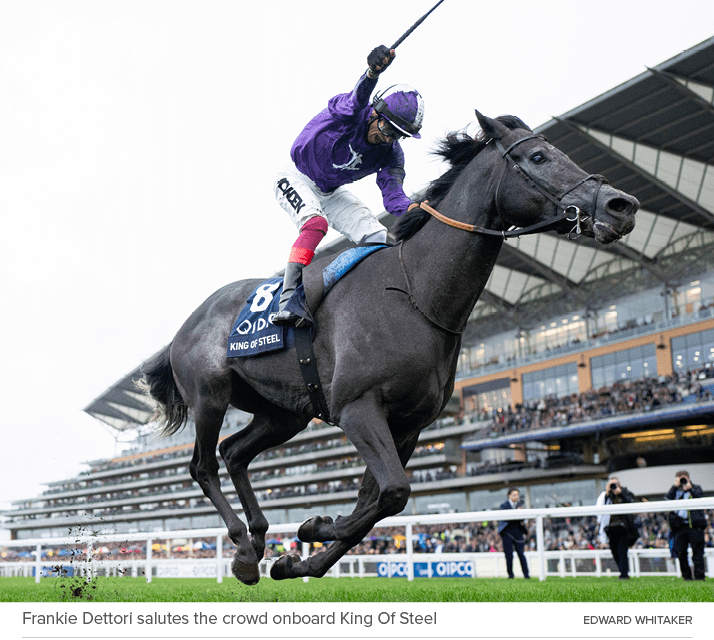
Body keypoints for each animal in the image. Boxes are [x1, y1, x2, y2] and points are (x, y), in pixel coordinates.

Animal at [138, 112, 636, 584]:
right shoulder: (358, 408)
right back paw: (243, 546)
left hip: (284, 413)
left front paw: (302, 555)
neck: (417, 292)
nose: (622, 205)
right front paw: (315, 527)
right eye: (538, 157)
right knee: (204, 465)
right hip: (210, 396)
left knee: (235, 453)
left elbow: (375, 500)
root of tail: (183, 328)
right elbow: (393, 492)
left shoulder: (408, 424)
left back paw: (257, 540)